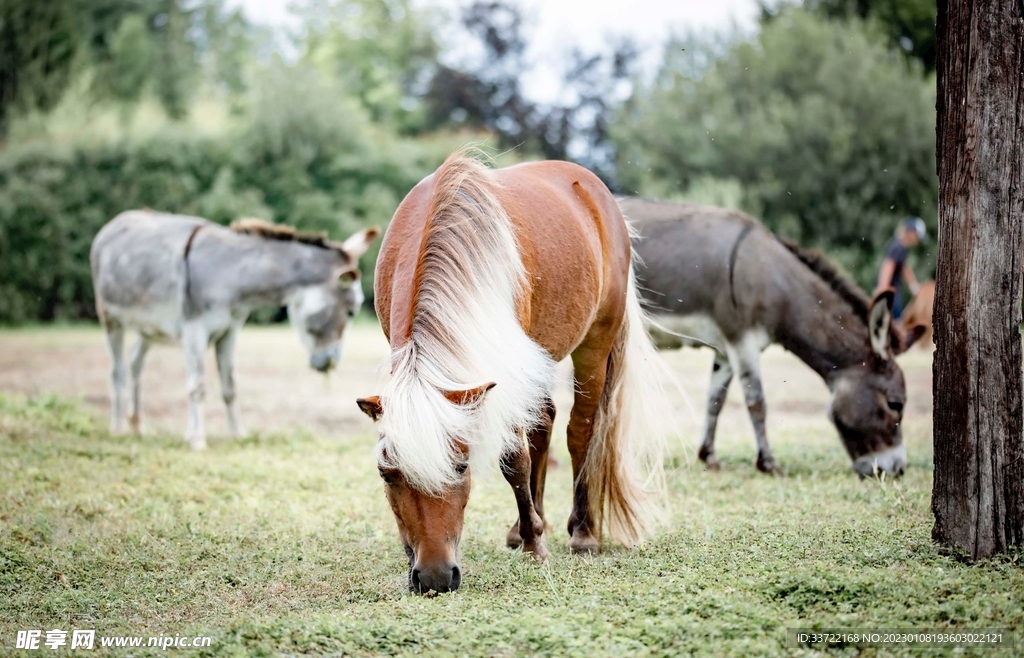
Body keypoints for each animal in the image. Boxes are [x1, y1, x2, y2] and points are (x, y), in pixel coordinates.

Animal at [91, 210, 379, 449]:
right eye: (352, 311)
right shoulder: (194, 329)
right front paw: (197, 439)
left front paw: (237, 434)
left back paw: (137, 426)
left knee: (135, 364)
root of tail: (113, 224)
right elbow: (198, 385)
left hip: (148, 328)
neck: (230, 275)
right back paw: (118, 428)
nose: (329, 363)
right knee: (117, 371)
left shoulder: (229, 332)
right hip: (110, 318)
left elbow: (230, 386)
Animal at [356, 151, 668, 594]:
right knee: (544, 425)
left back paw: (582, 532)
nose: (434, 577)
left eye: (461, 467)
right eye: (387, 474)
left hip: (595, 342)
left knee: (581, 431)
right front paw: (529, 531)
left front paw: (537, 547)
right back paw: (526, 526)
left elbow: (512, 459)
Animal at [619, 198, 924, 477]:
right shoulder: (742, 340)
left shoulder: (724, 349)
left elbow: (715, 400)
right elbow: (757, 403)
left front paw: (708, 456)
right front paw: (768, 463)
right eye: (895, 404)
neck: (774, 283)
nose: (897, 470)